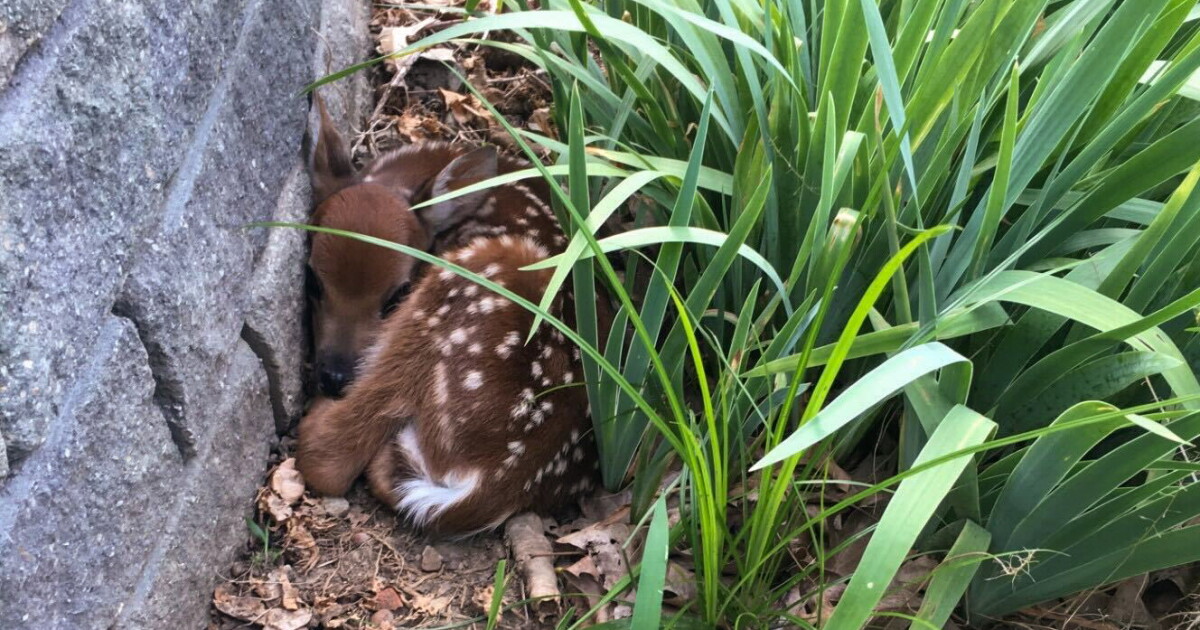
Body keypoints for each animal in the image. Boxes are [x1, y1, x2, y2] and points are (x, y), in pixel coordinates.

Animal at [295, 96, 602, 536]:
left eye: (397, 294)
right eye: (313, 281)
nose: (334, 376)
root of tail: (492, 486)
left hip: (462, 296)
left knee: (329, 453)